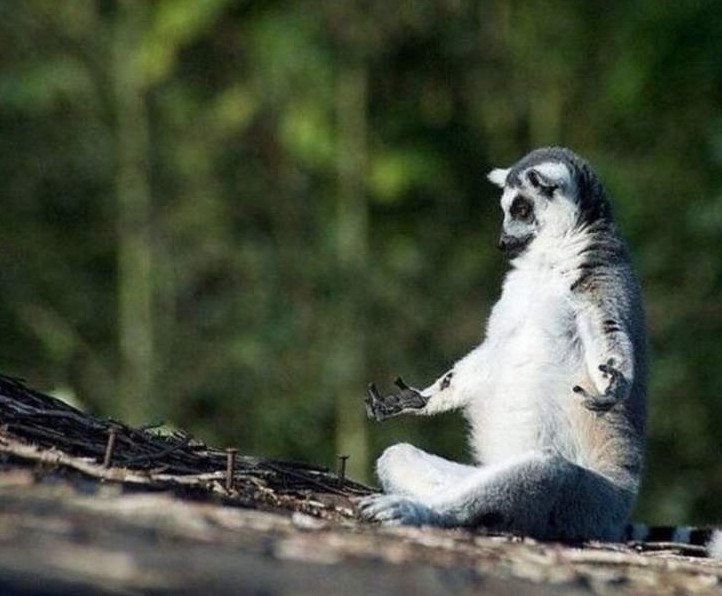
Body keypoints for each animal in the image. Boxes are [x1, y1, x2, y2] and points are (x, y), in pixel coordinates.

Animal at [357, 147, 647, 543]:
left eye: (521, 208)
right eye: (506, 209)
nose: (502, 242)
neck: (549, 259)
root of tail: (617, 521)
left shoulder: (602, 277)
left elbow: (610, 328)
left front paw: (617, 383)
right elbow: (491, 353)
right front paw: (420, 399)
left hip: (589, 504)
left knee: (546, 469)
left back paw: (426, 512)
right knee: (399, 457)